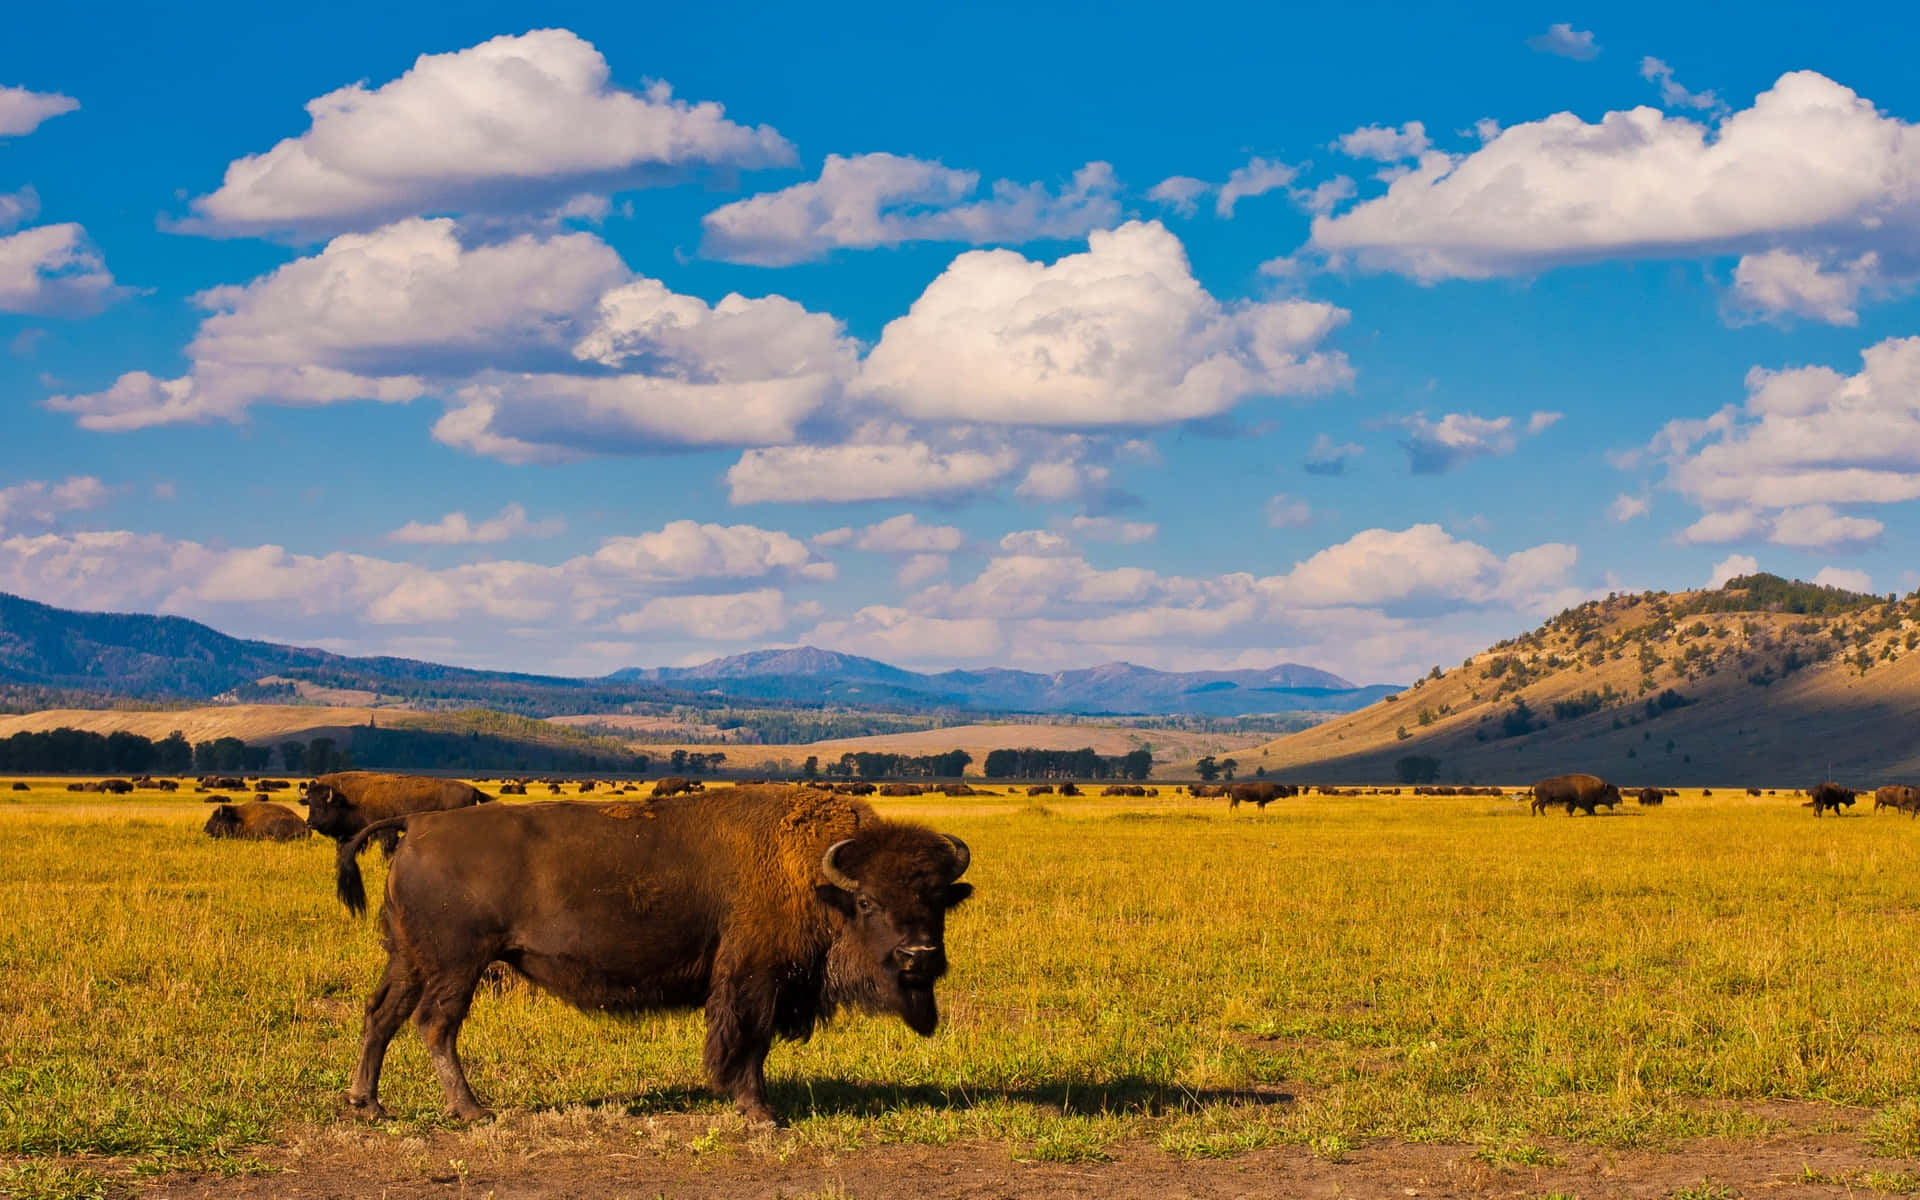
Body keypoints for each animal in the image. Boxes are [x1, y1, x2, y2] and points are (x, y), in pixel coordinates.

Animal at [303, 768, 491, 852]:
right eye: (309, 802)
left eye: (322, 805)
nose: (309, 823)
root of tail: (472, 789)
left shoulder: (385, 831)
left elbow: (387, 847)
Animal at [328, 787, 975, 1121]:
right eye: (867, 901)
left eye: (938, 897)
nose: (918, 956)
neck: (815, 875)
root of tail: (417, 824)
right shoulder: (754, 977)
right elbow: (748, 1040)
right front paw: (759, 1112)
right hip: (456, 966)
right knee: (434, 1024)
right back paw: (473, 1111)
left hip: (410, 959)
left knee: (381, 1016)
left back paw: (369, 1105)